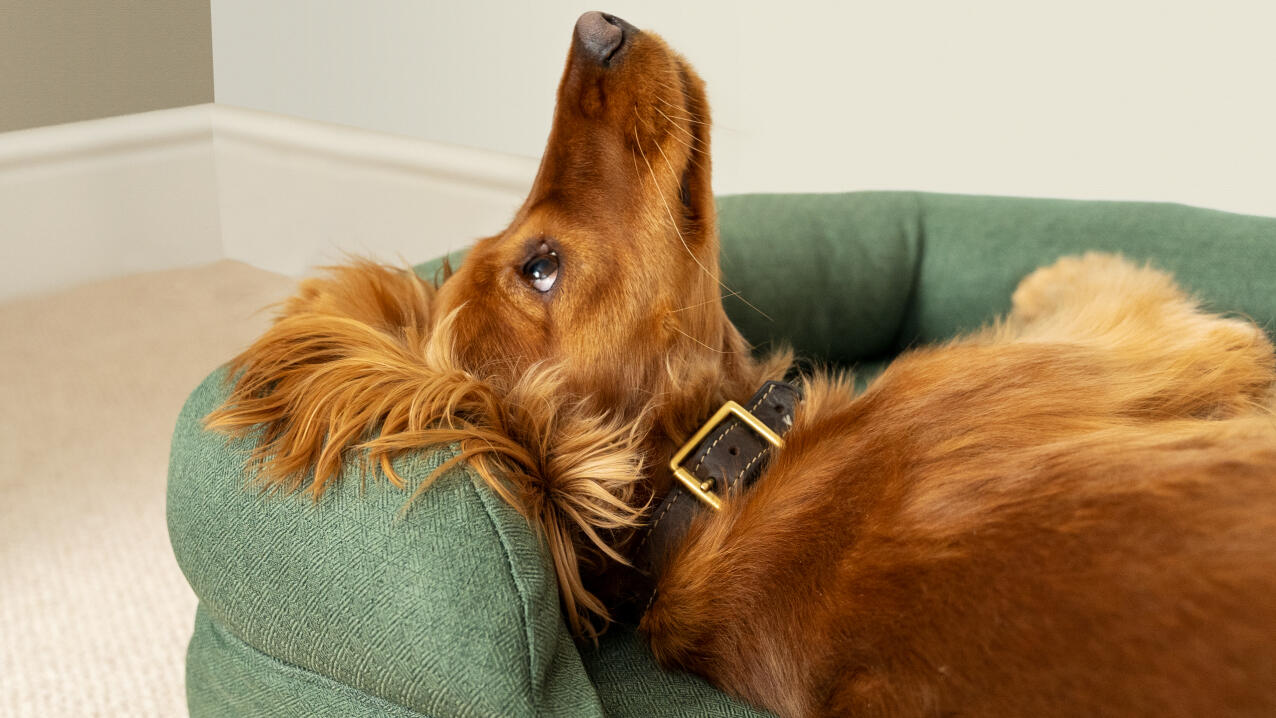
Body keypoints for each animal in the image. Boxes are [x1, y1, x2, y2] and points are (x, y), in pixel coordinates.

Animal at [209, 12, 1276, 718]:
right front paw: (1058, 265)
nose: (596, 24)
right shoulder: (1135, 344)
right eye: (539, 267)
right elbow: (1132, 298)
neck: (720, 484)